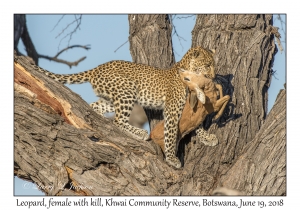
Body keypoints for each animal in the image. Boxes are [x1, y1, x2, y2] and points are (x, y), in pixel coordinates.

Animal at [32, 46, 216, 169]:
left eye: (213, 65)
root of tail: (96, 69)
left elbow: (197, 124)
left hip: (111, 98)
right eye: (207, 65)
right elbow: (170, 134)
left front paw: (207, 138)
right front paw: (172, 158)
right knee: (118, 120)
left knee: (95, 107)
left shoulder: (188, 108)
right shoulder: (172, 109)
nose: (214, 76)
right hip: (127, 91)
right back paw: (140, 133)